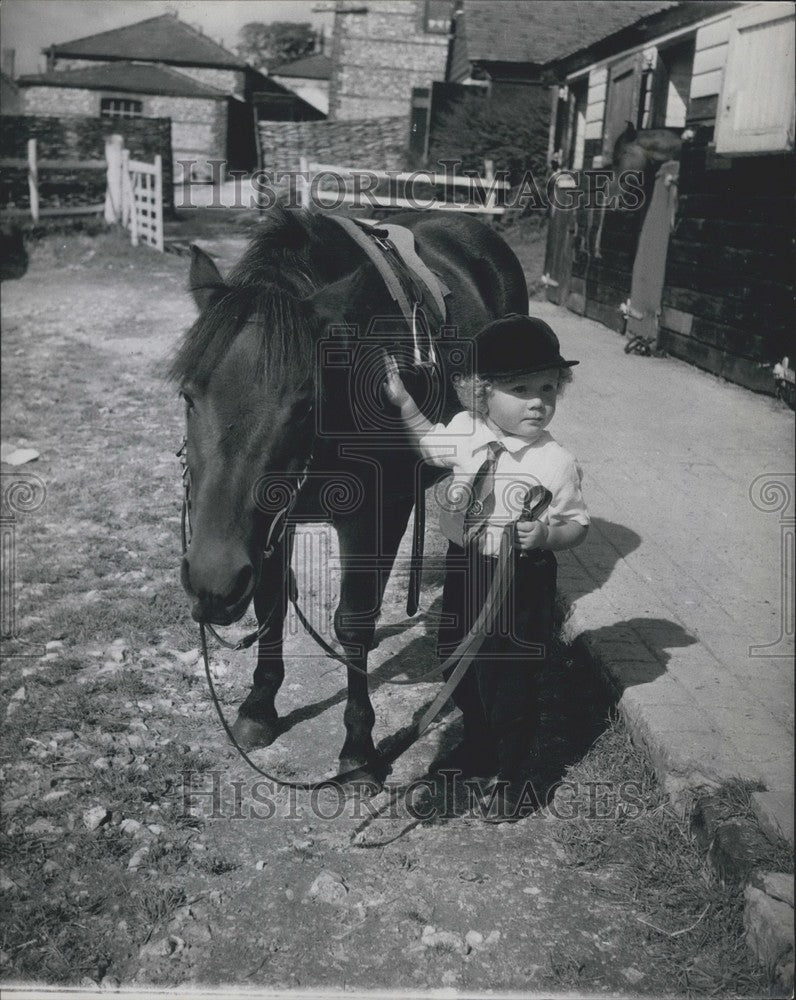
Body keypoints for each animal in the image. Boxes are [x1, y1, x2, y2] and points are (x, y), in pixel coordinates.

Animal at [169, 205, 528, 780]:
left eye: (304, 405)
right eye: (188, 396)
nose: (212, 582)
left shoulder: (375, 515)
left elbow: (353, 623)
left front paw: (359, 749)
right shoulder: (271, 523)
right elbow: (271, 601)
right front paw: (258, 708)